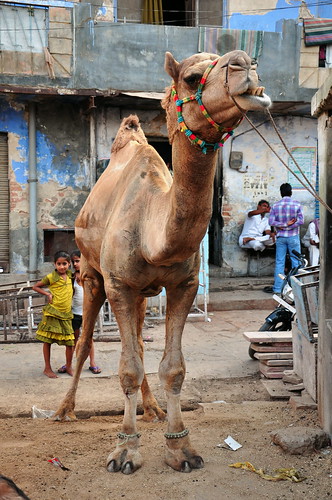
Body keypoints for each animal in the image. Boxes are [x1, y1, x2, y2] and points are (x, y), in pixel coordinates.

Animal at [54, 49, 272, 472]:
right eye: (191, 78)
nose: (245, 65)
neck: (153, 232)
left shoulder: (182, 285)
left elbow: (172, 367)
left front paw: (180, 449)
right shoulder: (118, 283)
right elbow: (126, 366)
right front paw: (125, 451)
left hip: (140, 292)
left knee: (138, 339)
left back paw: (152, 409)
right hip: (90, 275)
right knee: (86, 340)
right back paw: (64, 410)